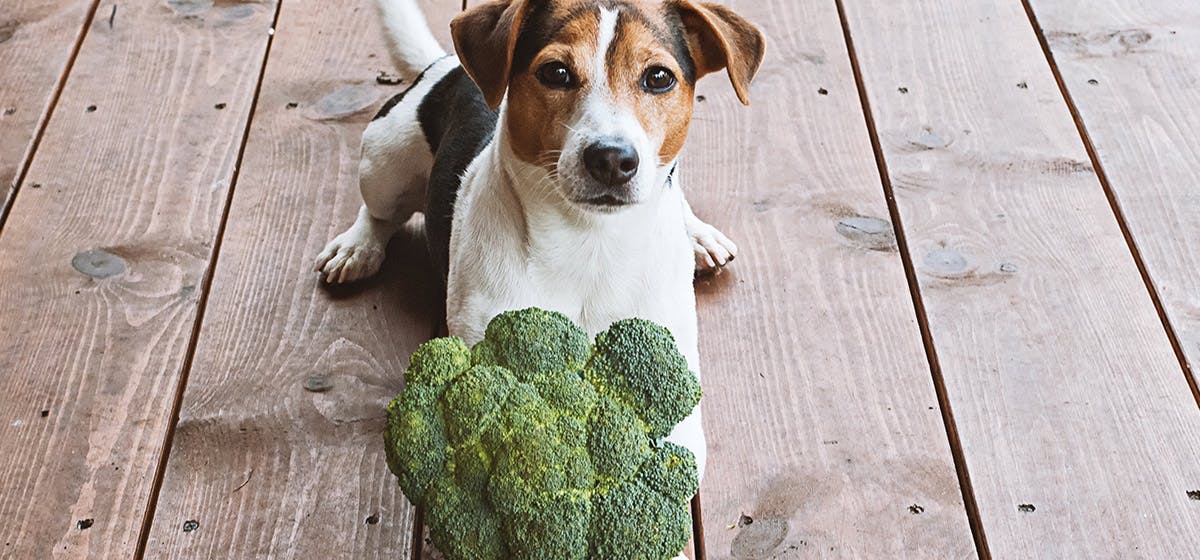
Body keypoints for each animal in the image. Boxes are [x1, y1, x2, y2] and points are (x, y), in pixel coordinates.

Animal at [316, 0, 758, 551]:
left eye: (658, 77)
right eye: (556, 73)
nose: (612, 158)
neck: (589, 241)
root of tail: (445, 64)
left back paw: (696, 233)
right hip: (384, 161)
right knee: (377, 211)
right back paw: (357, 246)